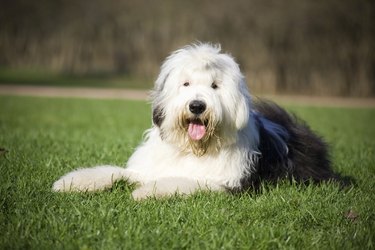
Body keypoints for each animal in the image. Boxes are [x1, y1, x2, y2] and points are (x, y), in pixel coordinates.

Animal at [53, 42, 340, 199]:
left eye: (215, 86)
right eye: (186, 84)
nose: (197, 106)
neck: (194, 149)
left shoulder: (227, 183)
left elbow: (185, 181)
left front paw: (145, 192)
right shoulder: (146, 167)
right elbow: (114, 171)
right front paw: (70, 182)